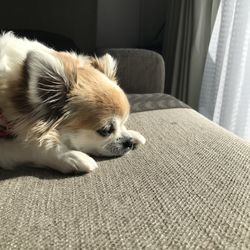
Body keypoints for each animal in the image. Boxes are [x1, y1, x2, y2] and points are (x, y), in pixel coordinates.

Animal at [0, 32, 146, 174]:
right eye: (105, 131)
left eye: (123, 123)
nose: (129, 142)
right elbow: (29, 146)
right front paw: (69, 156)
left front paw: (133, 134)